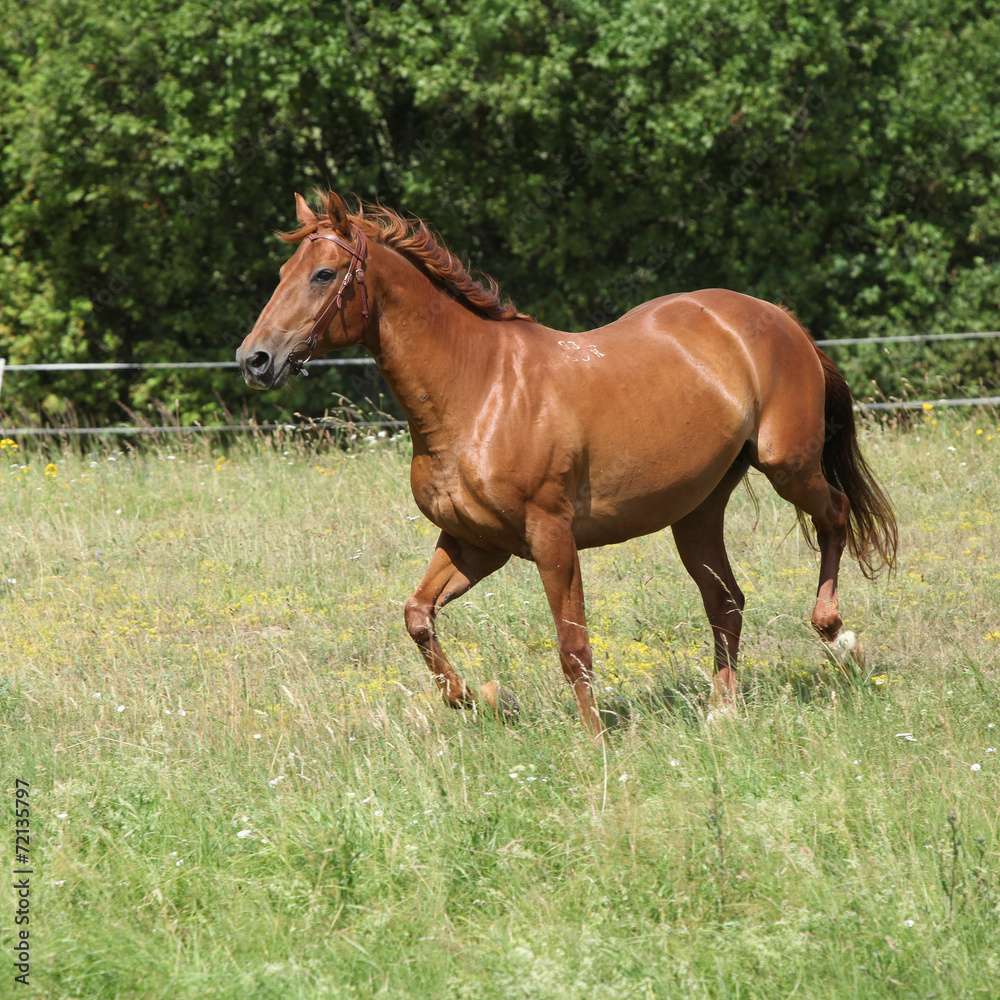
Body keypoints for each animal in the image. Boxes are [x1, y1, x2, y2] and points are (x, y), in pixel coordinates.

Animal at [236, 189, 900, 736]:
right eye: (283, 272)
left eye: (323, 274)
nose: (255, 359)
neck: (478, 390)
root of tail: (780, 318)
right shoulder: (476, 543)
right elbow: (418, 616)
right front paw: (481, 699)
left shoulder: (551, 536)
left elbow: (573, 645)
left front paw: (595, 742)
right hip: (697, 511)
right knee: (727, 601)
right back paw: (722, 711)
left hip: (787, 465)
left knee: (836, 514)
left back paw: (839, 639)